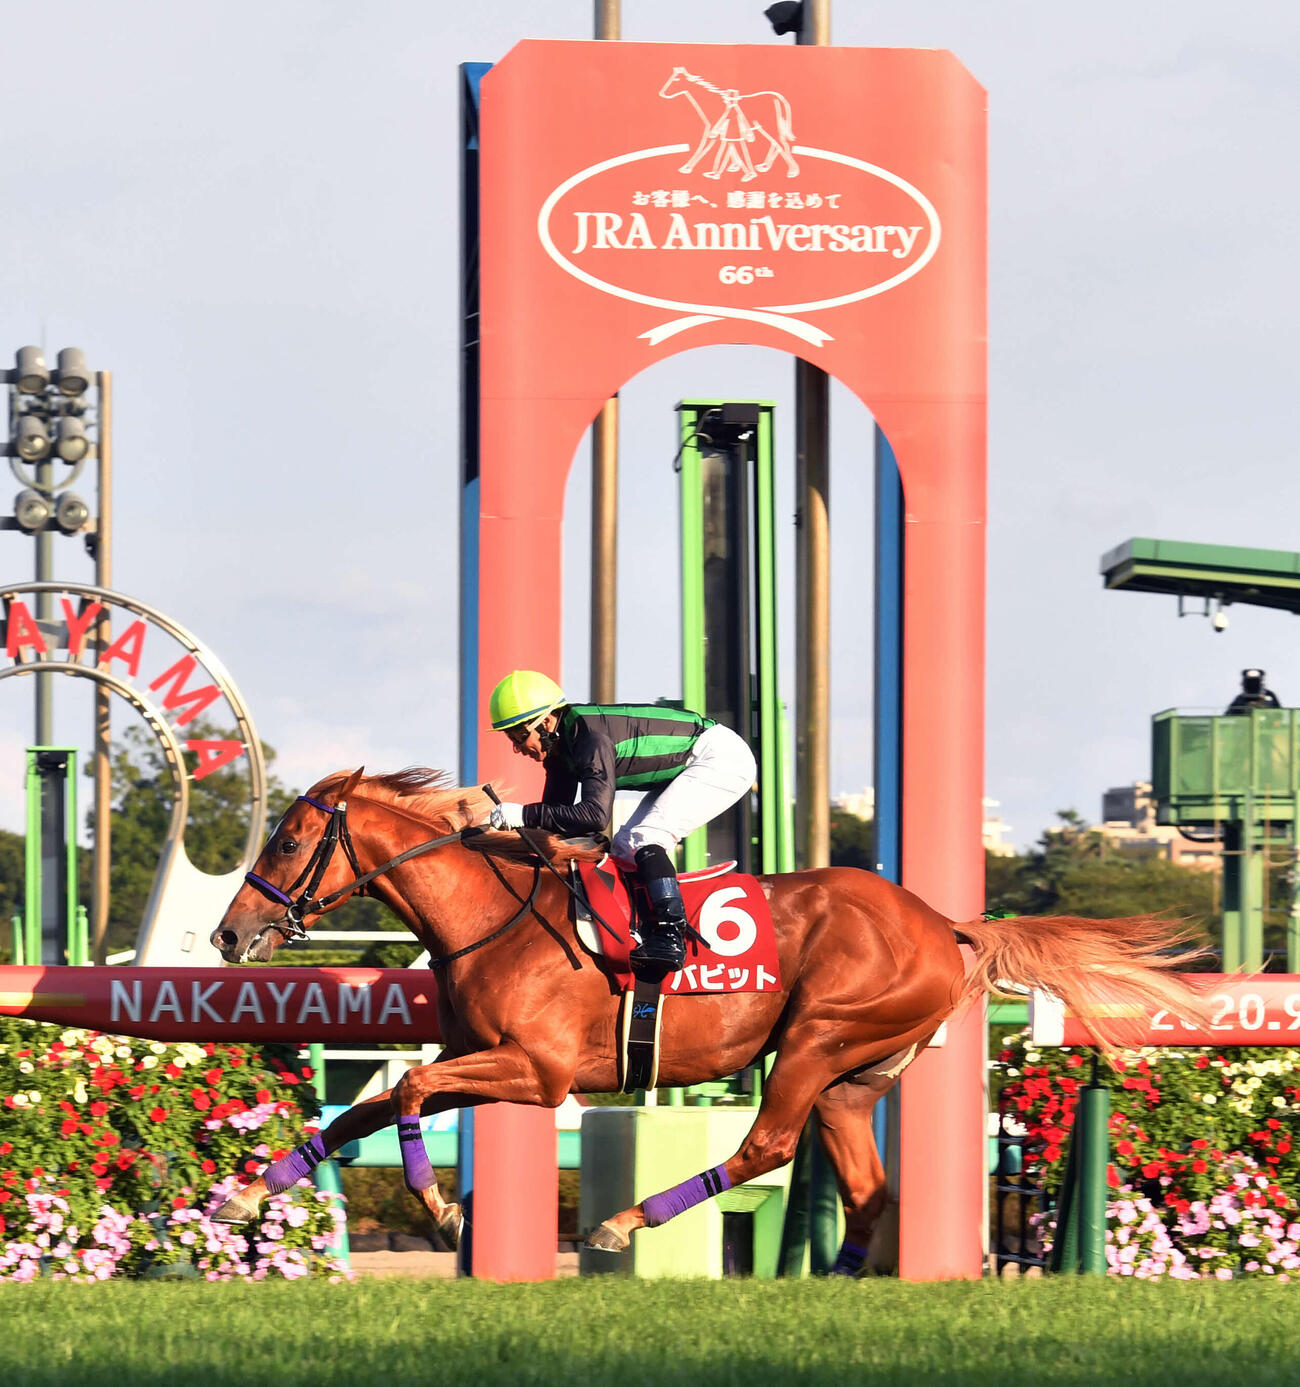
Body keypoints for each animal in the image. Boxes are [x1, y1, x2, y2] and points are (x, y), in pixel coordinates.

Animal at [208, 767, 1208, 1265]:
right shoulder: (482, 1057)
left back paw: (622, 1223)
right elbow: (369, 1108)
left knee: (769, 1145)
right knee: (866, 1188)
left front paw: (443, 1211)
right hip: (851, 1079)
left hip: (818, 1036)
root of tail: (944, 923)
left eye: (289, 839)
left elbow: (408, 1086)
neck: (493, 913)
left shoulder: (537, 1072)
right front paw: (250, 1191)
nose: (228, 933)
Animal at [658, 67, 799, 180]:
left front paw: (687, 168)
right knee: (776, 143)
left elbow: (705, 148)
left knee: (781, 144)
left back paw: (792, 171)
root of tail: (777, 96)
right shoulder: (721, 132)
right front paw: (733, 167)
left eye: (676, 80)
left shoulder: (715, 131)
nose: (662, 93)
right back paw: (765, 166)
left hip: (771, 126)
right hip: (766, 127)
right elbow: (729, 149)